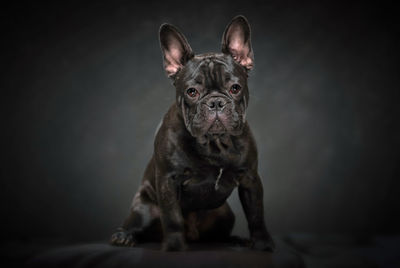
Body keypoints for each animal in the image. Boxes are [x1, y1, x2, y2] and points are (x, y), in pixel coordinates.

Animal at [110, 15, 276, 251]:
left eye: (235, 88)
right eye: (192, 92)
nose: (215, 102)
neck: (214, 143)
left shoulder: (250, 179)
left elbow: (256, 215)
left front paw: (262, 244)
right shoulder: (168, 181)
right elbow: (172, 218)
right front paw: (174, 247)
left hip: (225, 214)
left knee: (219, 234)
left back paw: (236, 239)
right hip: (144, 209)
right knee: (136, 223)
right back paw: (124, 236)